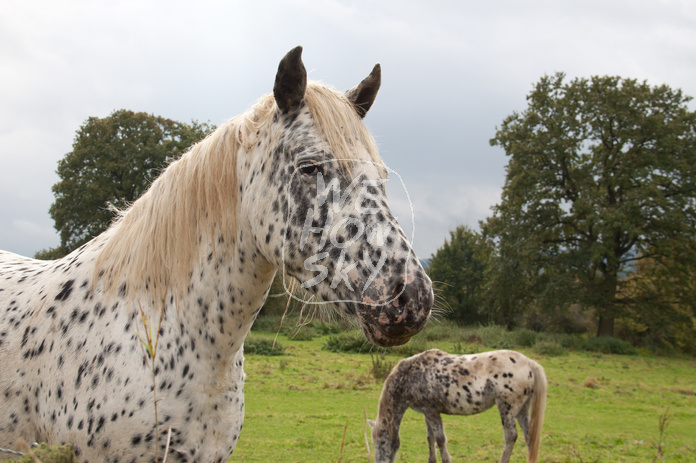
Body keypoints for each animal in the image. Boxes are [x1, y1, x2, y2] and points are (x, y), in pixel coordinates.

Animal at [368, 350, 548, 463]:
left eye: (382, 442)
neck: (410, 375)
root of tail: (528, 363)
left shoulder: (432, 411)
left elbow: (440, 439)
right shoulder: (427, 412)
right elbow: (430, 438)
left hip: (507, 408)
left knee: (511, 437)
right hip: (522, 410)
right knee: (529, 437)